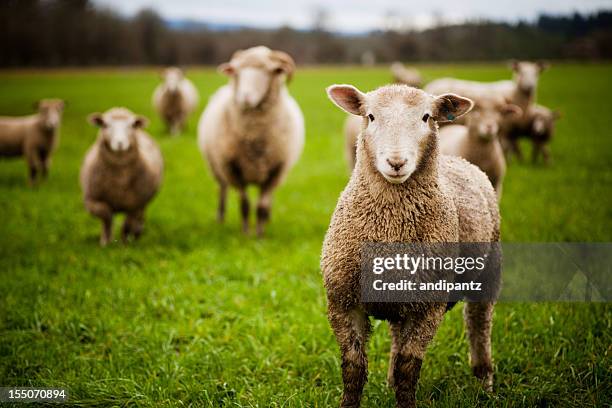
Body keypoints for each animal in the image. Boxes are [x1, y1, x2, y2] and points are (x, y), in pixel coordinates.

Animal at [80, 107, 164, 245]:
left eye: (131, 125)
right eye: (105, 125)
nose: (120, 143)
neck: (119, 181)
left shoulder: (136, 204)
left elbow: (128, 223)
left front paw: (125, 243)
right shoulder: (91, 200)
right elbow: (106, 216)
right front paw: (106, 241)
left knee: (139, 218)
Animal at [197, 45, 304, 236]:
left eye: (269, 71)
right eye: (236, 71)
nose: (244, 97)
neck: (254, 137)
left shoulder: (275, 170)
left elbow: (262, 206)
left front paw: (260, 234)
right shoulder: (233, 168)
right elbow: (245, 204)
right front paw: (246, 233)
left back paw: (268, 219)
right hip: (216, 167)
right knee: (222, 190)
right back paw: (220, 218)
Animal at [322, 83, 500, 408]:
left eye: (426, 117)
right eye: (370, 116)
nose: (396, 163)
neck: (390, 227)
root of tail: (460, 160)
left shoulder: (428, 308)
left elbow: (409, 367)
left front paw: (405, 398)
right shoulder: (343, 303)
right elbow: (353, 367)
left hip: (490, 269)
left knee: (479, 324)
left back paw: (485, 381)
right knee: (397, 335)